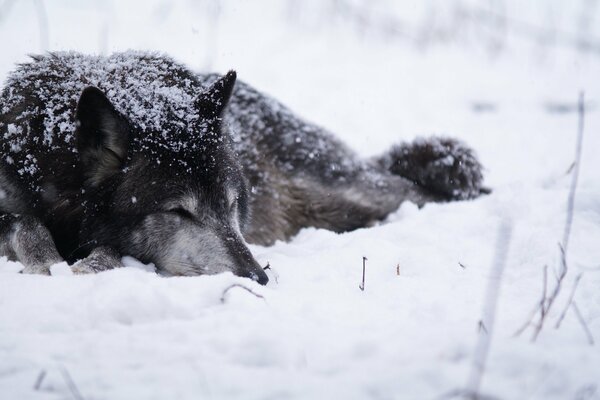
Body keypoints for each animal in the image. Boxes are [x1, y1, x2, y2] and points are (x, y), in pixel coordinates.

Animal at [0, 52, 486, 284]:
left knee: (418, 193)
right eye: (179, 211)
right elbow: (25, 223)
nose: (258, 278)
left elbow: (109, 249)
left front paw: (84, 265)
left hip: (347, 193)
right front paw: (47, 261)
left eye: (232, 205)